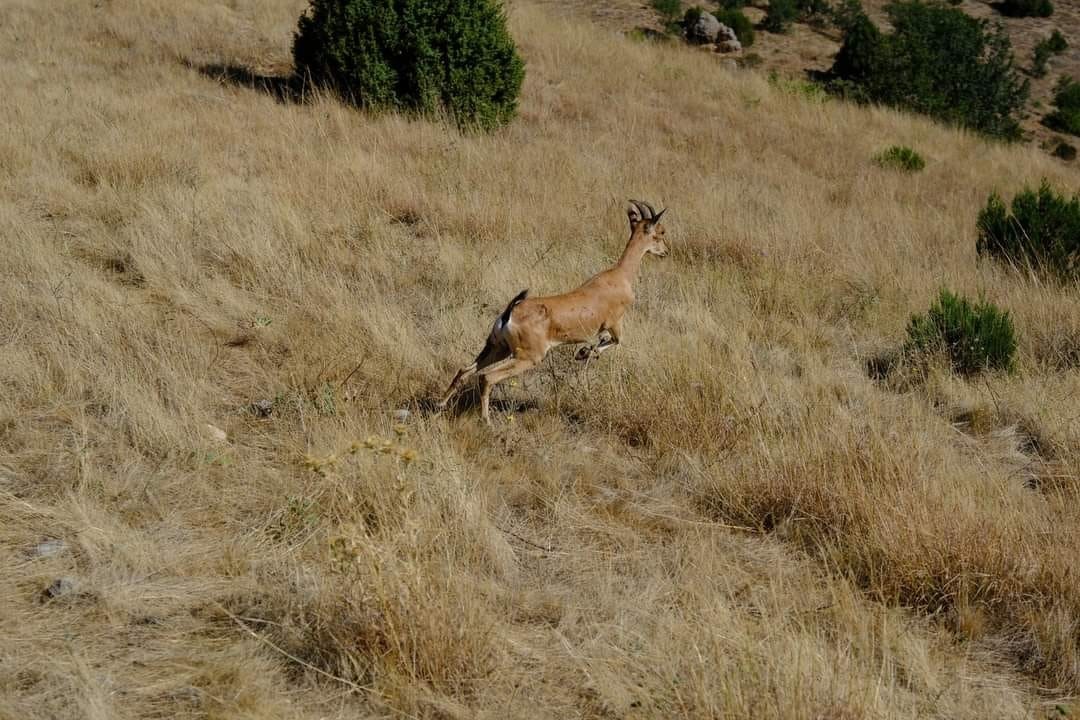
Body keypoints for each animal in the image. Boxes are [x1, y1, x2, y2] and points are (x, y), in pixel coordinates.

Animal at [436, 199, 665, 425]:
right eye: (660, 232)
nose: (665, 251)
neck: (620, 276)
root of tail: (510, 314)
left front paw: (583, 352)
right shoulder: (614, 324)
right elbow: (615, 341)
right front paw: (584, 352)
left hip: (497, 349)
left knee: (464, 371)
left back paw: (440, 405)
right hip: (527, 358)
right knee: (486, 377)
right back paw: (487, 422)